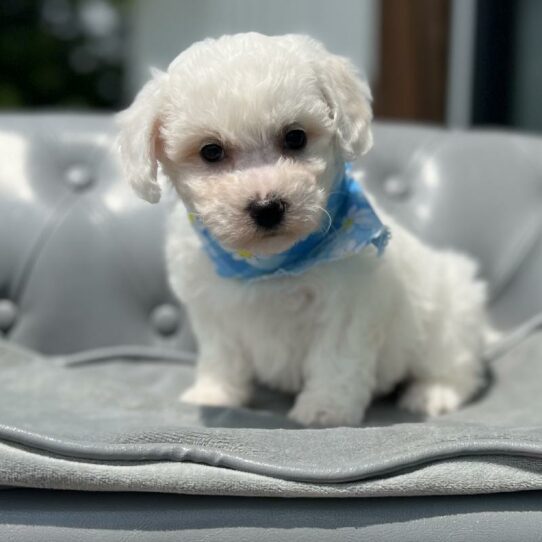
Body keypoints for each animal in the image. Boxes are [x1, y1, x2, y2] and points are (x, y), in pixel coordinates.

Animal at [118, 33, 488, 430]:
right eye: (211, 151)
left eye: (295, 137)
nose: (267, 207)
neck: (272, 263)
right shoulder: (211, 306)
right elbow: (222, 354)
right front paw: (214, 393)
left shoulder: (346, 302)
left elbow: (335, 357)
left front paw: (326, 410)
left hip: (451, 314)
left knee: (455, 365)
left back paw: (433, 393)